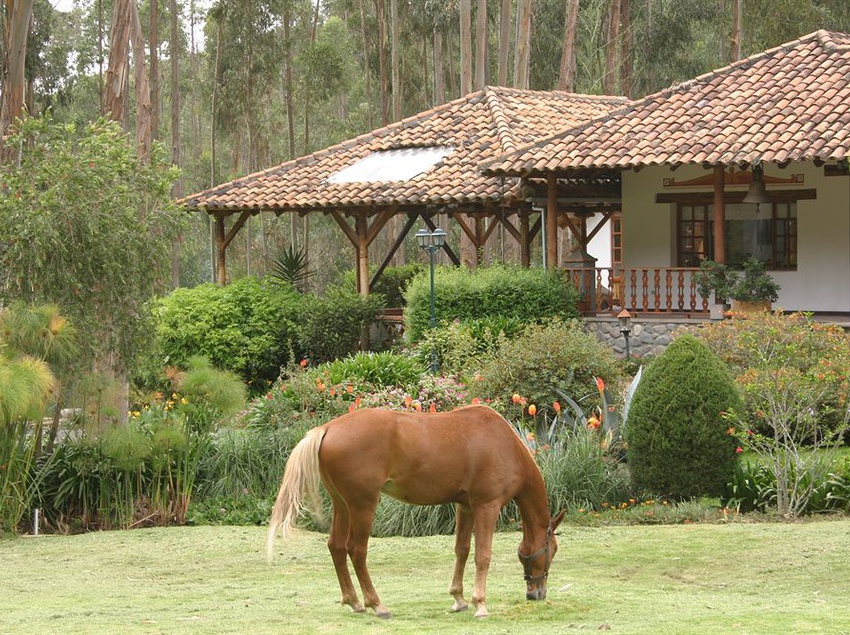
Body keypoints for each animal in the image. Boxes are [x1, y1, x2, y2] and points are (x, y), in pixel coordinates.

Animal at [266, 404, 565, 618]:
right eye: (553, 549)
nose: (537, 593)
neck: (502, 443)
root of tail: (328, 428)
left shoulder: (465, 507)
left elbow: (462, 550)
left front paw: (458, 598)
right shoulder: (486, 507)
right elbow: (483, 556)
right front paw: (480, 603)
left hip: (343, 505)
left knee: (337, 547)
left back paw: (354, 601)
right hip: (363, 505)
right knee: (356, 550)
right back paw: (376, 604)